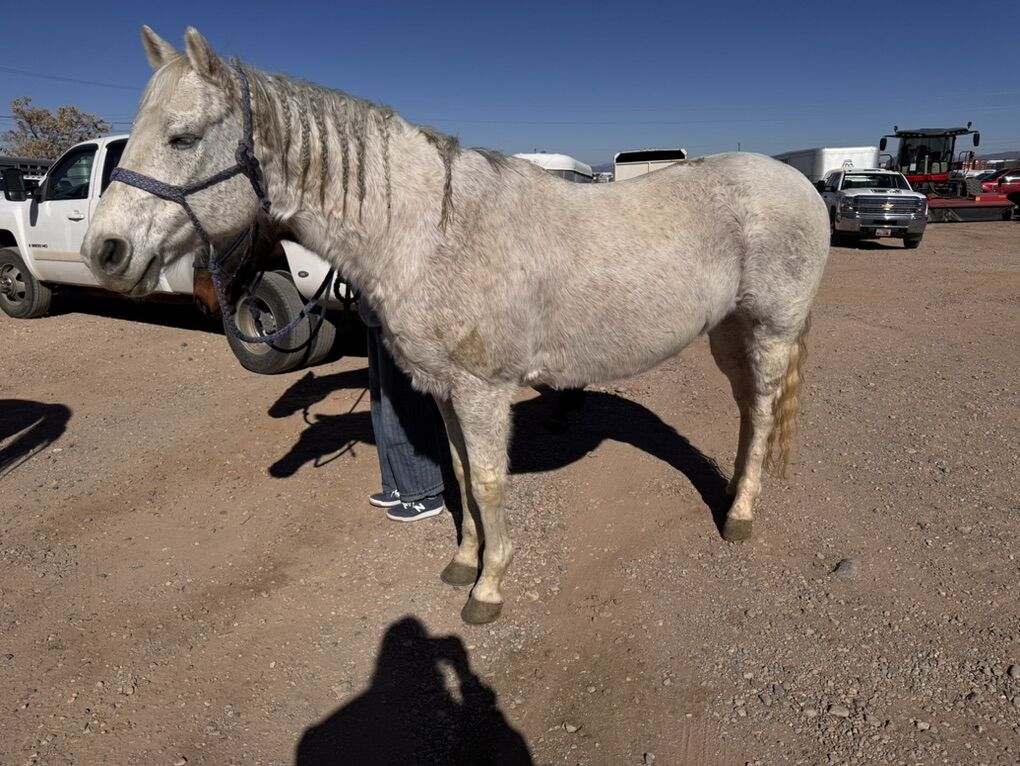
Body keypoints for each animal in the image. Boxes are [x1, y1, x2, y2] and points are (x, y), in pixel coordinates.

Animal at [81, 26, 830, 625]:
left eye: (182, 137)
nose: (104, 250)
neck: (429, 232)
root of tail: (796, 183)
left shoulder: (482, 391)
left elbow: (491, 483)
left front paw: (489, 590)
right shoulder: (442, 389)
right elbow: (463, 476)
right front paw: (464, 564)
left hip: (769, 331)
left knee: (764, 410)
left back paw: (739, 517)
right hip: (727, 333)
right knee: (747, 412)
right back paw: (732, 495)